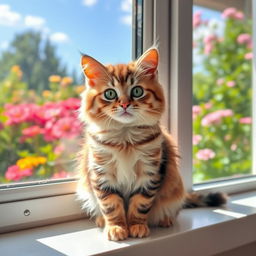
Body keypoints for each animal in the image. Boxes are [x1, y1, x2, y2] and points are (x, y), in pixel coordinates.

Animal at [76, 47, 226, 241]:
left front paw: (137, 226)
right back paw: (101, 221)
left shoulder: (151, 172)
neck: (125, 138)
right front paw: (116, 227)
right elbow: (111, 205)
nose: (125, 104)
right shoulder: (101, 173)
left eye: (137, 91)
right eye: (110, 94)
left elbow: (140, 204)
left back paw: (165, 220)